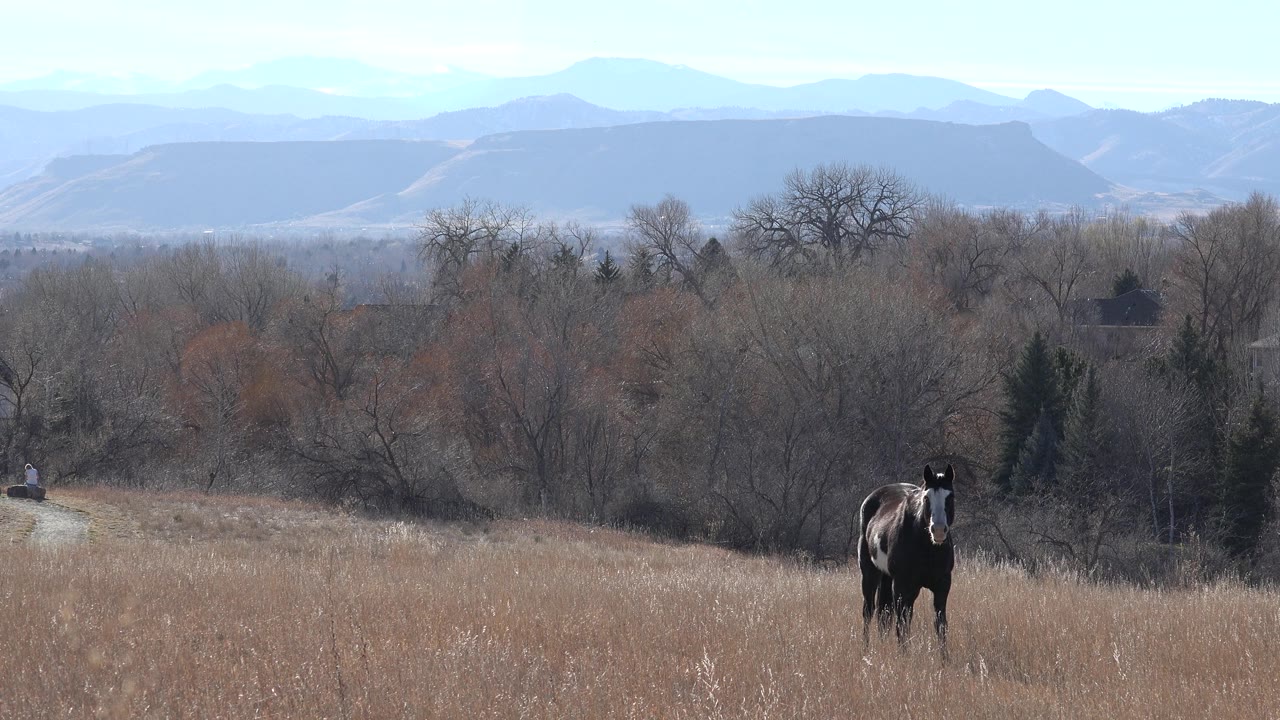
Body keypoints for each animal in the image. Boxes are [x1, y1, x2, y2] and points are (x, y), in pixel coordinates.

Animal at [858, 463, 955, 649]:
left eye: (950, 497)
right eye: (926, 498)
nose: (938, 530)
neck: (927, 548)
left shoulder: (942, 585)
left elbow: (941, 625)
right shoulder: (902, 586)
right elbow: (902, 626)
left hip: (887, 578)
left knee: (884, 615)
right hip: (870, 574)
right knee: (869, 611)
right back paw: (865, 648)